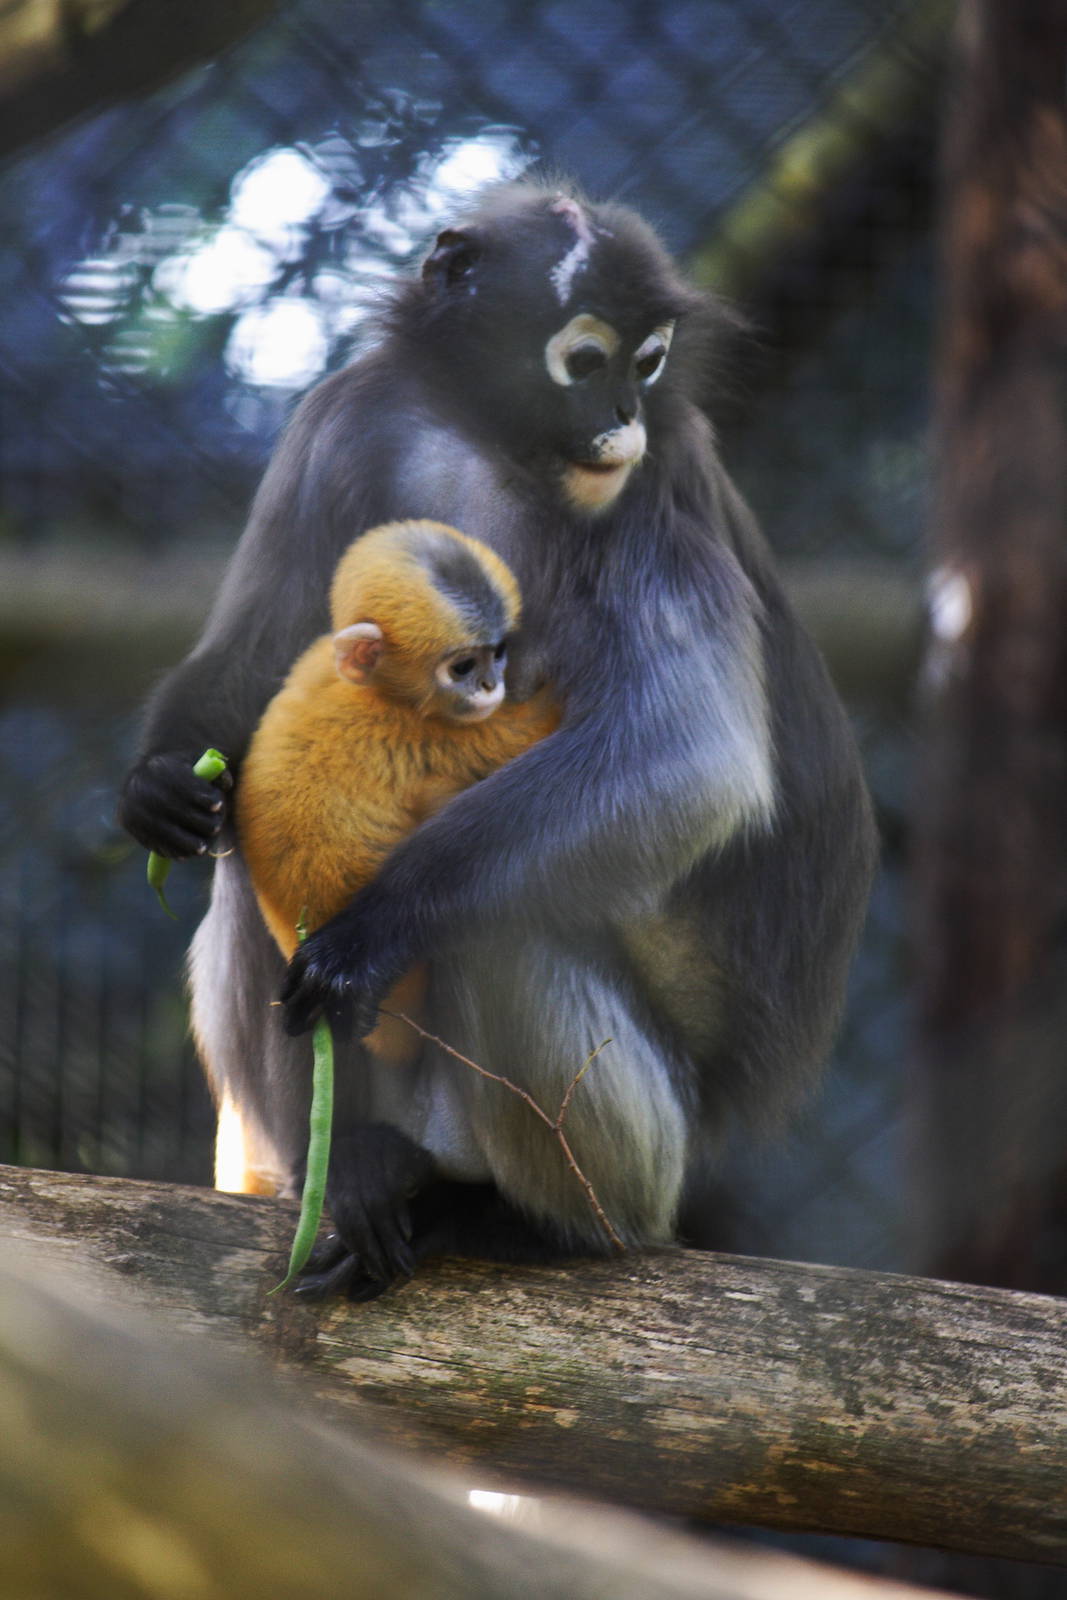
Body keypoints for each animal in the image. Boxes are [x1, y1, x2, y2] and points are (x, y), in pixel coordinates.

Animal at [119, 179, 877, 1297]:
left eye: (649, 363)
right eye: (587, 361)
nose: (621, 420)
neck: (485, 442)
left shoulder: (652, 498)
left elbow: (692, 760)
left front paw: (373, 931)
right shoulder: (346, 415)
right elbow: (254, 662)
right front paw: (160, 780)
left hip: (642, 1135)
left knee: (504, 924)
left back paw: (505, 1216)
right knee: (250, 827)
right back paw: (348, 1168)